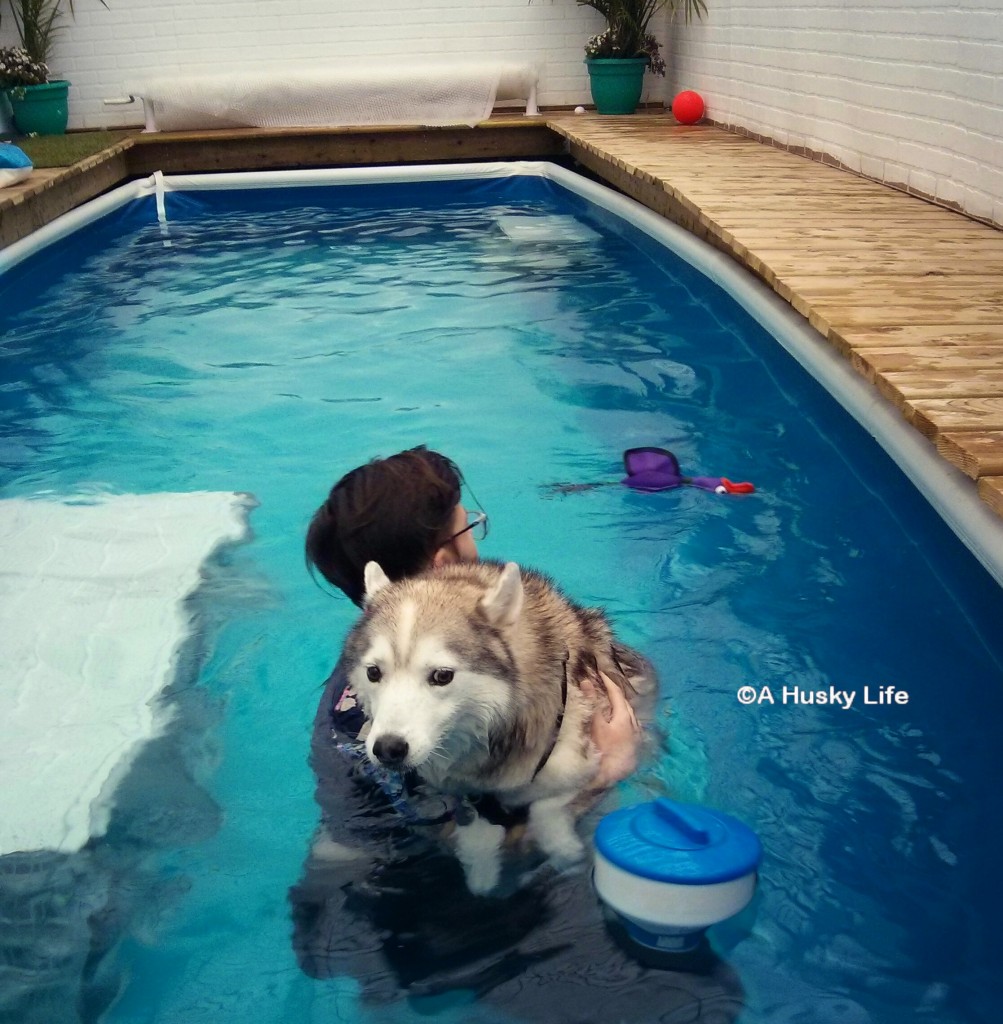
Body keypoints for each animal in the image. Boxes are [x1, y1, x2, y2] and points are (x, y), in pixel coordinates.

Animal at [342, 561, 655, 897]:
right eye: (374, 672)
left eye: (442, 675)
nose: (388, 749)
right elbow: (472, 823)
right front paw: (480, 867)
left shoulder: (577, 759)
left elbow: (549, 803)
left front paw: (562, 846)